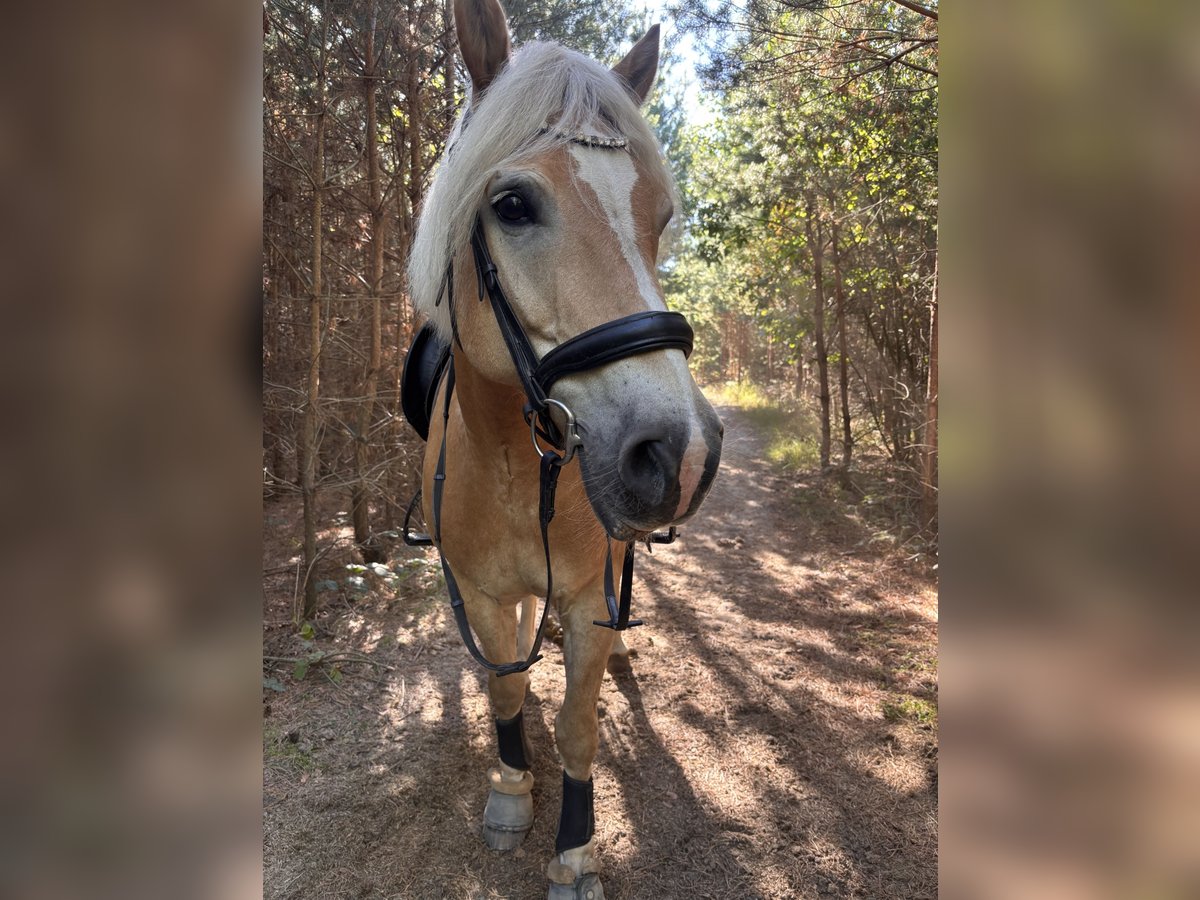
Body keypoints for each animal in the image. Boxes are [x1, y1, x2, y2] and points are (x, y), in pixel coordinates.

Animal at [404, 2, 723, 896]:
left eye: (659, 217)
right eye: (512, 204)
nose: (679, 453)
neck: (516, 468)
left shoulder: (585, 601)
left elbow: (581, 730)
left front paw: (575, 850)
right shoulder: (478, 593)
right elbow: (504, 694)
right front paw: (512, 792)